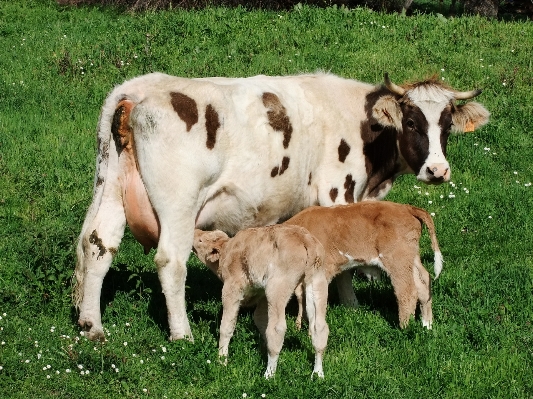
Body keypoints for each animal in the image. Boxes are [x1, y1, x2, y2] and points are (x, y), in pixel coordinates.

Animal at [72, 71, 488, 340]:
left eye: (447, 125)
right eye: (412, 122)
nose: (438, 170)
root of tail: (138, 89)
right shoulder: (338, 191)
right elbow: (344, 259)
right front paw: (351, 305)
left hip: (109, 184)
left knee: (96, 244)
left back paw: (92, 326)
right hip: (179, 202)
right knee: (170, 262)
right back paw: (182, 334)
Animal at [191, 227, 328, 380]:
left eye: (201, 240)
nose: (194, 231)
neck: (226, 252)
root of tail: (305, 238)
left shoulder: (232, 289)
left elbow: (226, 326)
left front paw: (221, 361)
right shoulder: (261, 294)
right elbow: (260, 319)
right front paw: (263, 347)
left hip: (277, 286)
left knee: (277, 328)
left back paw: (269, 374)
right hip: (317, 280)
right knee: (319, 327)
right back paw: (318, 373)